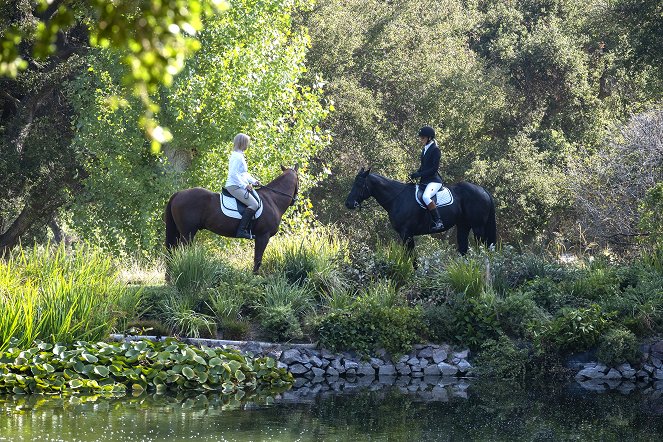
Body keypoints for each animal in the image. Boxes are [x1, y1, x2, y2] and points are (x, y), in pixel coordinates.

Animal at [165, 164, 300, 272]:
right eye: (299, 179)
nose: (294, 200)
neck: (273, 199)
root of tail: (178, 193)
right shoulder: (263, 236)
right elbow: (258, 259)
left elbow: (256, 258)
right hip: (187, 233)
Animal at [344, 167, 496, 256]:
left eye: (359, 184)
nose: (349, 204)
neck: (397, 198)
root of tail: (482, 190)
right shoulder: (405, 234)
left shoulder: (406, 233)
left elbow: (410, 257)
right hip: (463, 225)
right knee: (464, 248)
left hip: (478, 227)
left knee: (483, 247)